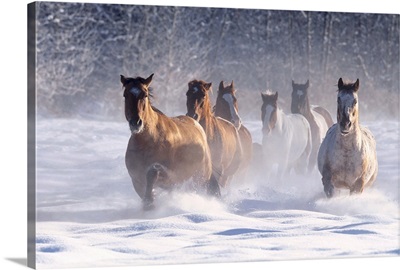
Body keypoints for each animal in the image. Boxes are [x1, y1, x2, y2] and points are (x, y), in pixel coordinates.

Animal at [119, 74, 219, 209]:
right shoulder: (136, 178)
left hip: (200, 178)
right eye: (125, 95)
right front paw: (149, 203)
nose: (136, 123)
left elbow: (152, 173)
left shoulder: (169, 175)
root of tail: (196, 124)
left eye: (145, 95)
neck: (146, 143)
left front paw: (149, 201)